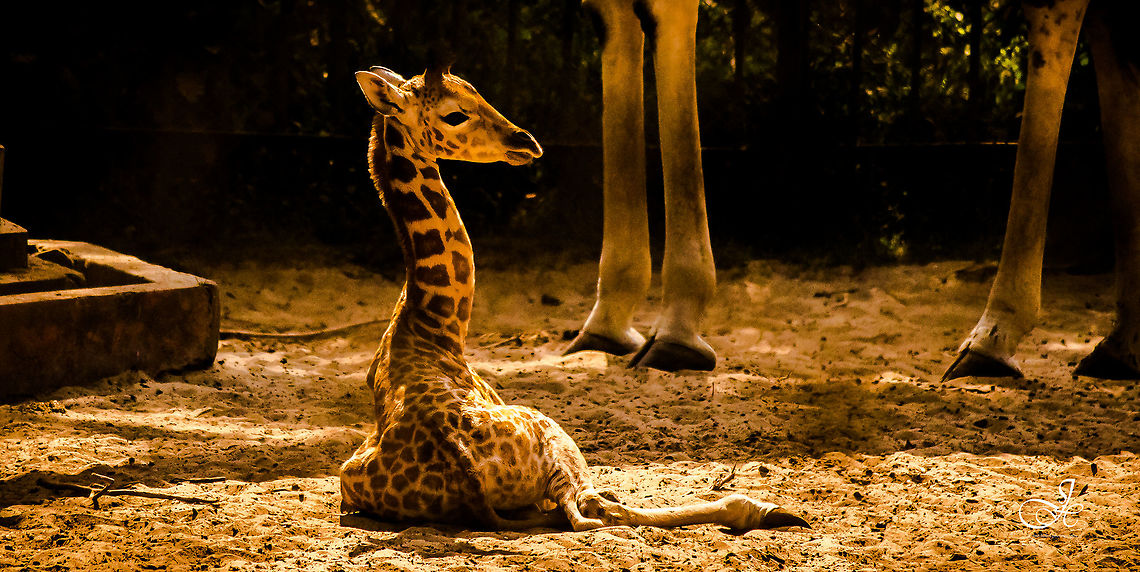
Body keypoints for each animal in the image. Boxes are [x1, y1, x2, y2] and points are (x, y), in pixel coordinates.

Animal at [338, 65, 809, 532]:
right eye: (456, 114)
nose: (525, 142)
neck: (433, 326)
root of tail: (463, 464)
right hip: (551, 429)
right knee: (592, 509)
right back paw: (770, 509)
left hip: (351, 478)